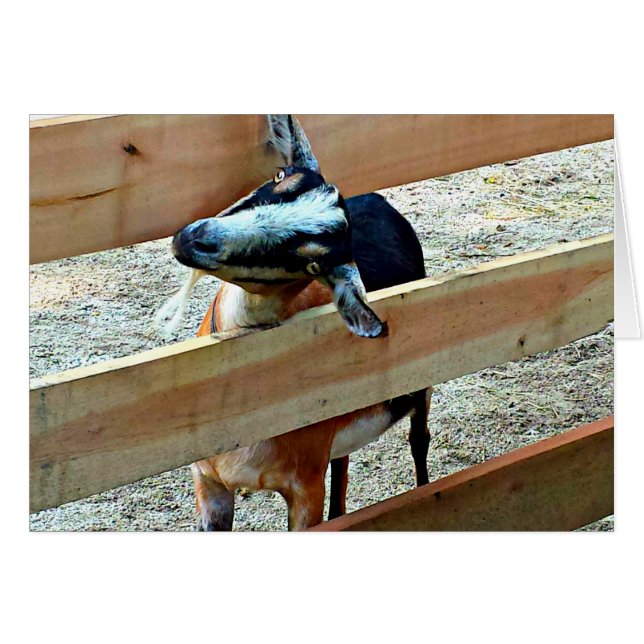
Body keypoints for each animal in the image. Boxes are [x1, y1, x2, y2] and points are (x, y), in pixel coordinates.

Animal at [162, 115, 432, 530]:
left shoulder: (305, 488)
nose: (198, 239)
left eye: (313, 263)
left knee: (419, 439)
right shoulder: (209, 483)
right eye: (279, 175)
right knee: (342, 464)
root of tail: (377, 198)